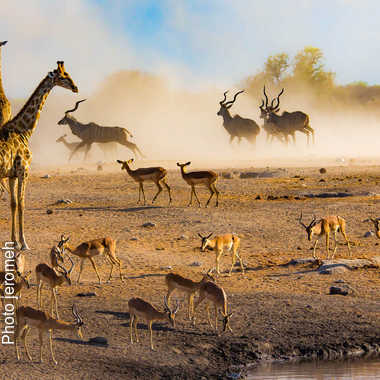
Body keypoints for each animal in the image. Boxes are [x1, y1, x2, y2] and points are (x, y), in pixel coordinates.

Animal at [0, 60, 78, 249]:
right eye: (63, 76)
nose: (75, 88)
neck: (24, 130)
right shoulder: (24, 171)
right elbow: (22, 203)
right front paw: (24, 243)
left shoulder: (12, 174)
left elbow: (13, 204)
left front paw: (14, 241)